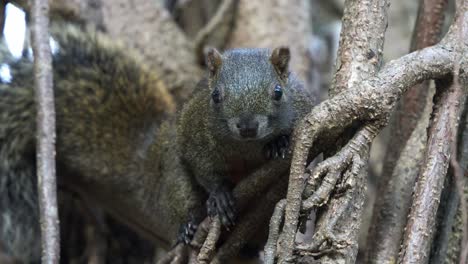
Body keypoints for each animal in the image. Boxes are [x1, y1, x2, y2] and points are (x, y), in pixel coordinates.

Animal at [176, 47, 314, 231]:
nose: (248, 127)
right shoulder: (194, 138)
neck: (248, 146)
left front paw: (278, 143)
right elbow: (204, 172)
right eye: (215, 95)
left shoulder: (302, 108)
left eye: (278, 92)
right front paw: (219, 195)